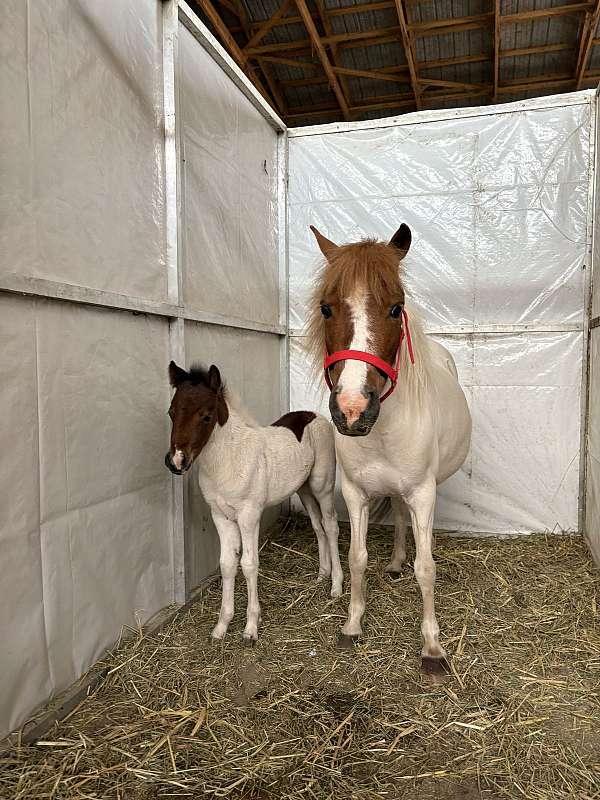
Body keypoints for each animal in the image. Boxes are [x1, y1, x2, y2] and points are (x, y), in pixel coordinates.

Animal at [164, 361, 343, 642]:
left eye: (206, 416)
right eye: (171, 412)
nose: (176, 462)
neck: (229, 458)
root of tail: (314, 414)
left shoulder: (249, 515)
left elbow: (248, 564)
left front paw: (250, 627)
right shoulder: (221, 516)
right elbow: (227, 564)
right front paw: (221, 626)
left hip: (321, 486)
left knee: (331, 526)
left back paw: (336, 586)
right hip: (303, 489)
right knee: (318, 526)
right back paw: (322, 574)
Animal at [306, 224, 472, 674]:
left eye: (396, 308)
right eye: (326, 308)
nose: (352, 409)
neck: (380, 433)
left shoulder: (423, 492)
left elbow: (427, 568)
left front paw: (432, 647)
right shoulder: (355, 494)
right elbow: (357, 559)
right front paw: (352, 625)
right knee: (397, 516)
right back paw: (396, 562)